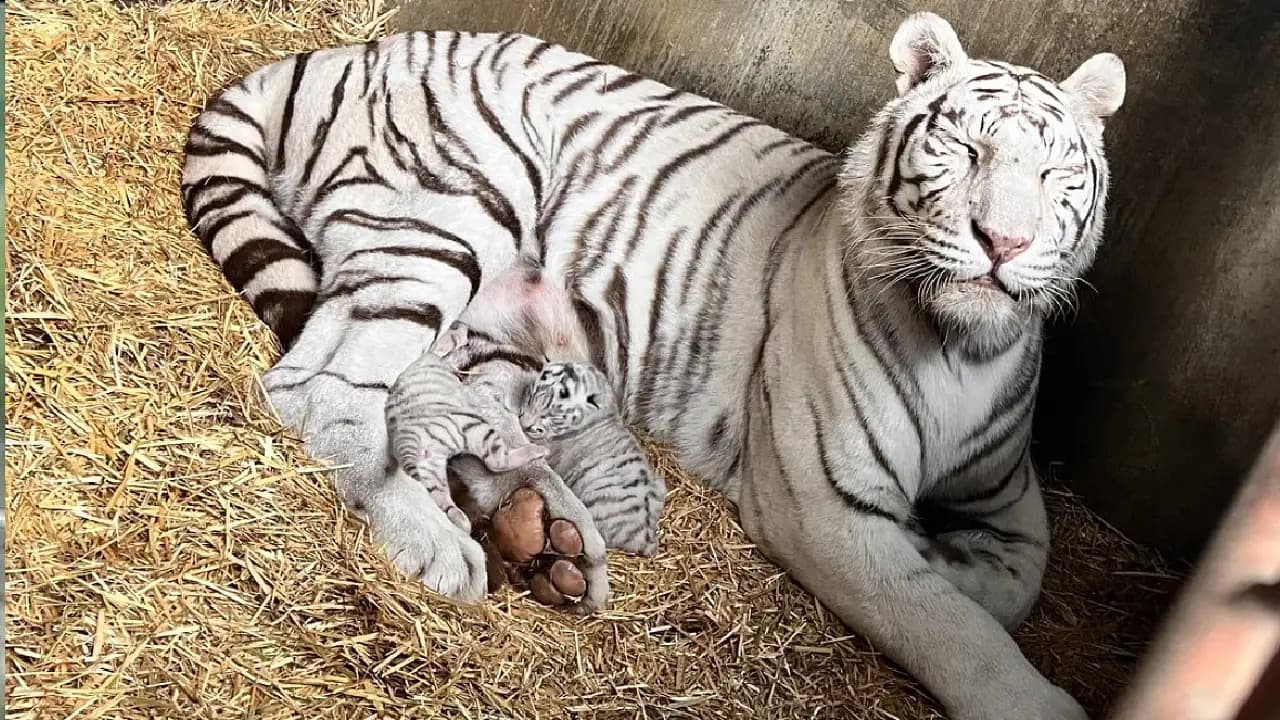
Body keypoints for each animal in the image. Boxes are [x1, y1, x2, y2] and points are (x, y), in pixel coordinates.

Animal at [180, 12, 1121, 717]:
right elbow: (945, 622)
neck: (965, 346)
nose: (1004, 242)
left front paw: (947, 560)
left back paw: (543, 534)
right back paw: (438, 542)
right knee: (320, 387)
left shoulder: (1009, 501)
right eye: (963, 151)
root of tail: (339, 52)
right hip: (450, 214)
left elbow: (1012, 588)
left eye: (1055, 172)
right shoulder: (823, 506)